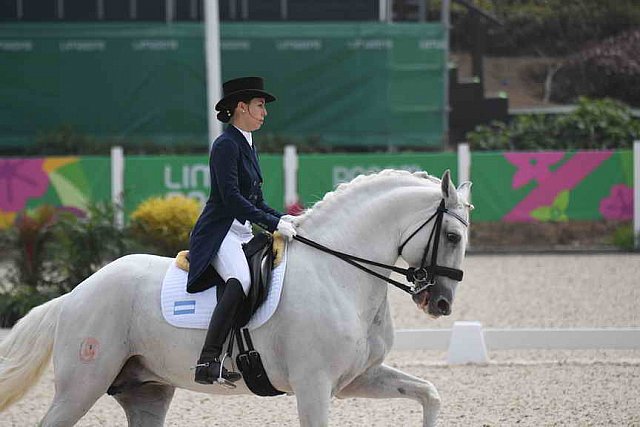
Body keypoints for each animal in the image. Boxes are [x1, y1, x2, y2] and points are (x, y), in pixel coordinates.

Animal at [0, 169, 470, 426]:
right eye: (451, 236)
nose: (441, 304)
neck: (338, 272)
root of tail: (75, 293)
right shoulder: (313, 386)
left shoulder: (355, 379)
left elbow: (429, 393)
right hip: (83, 384)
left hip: (145, 390)